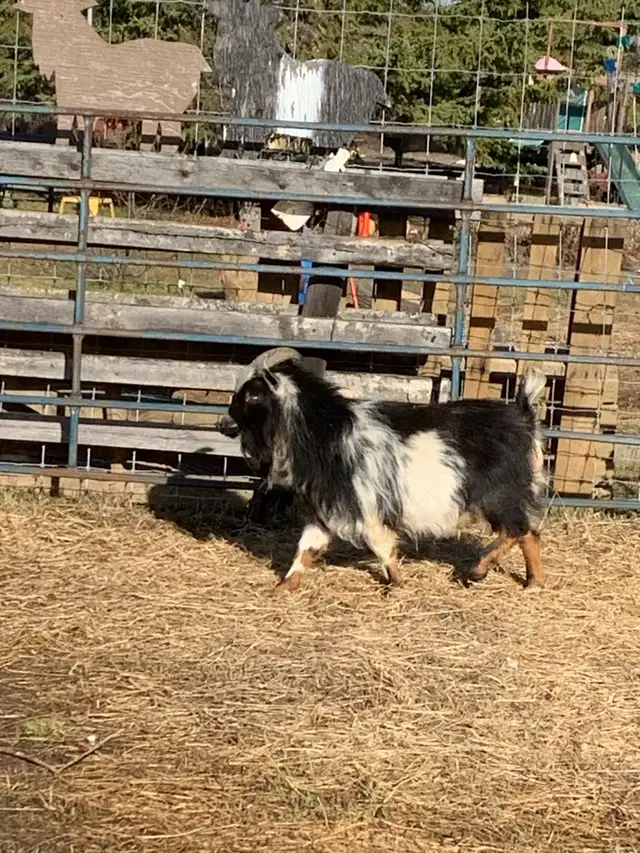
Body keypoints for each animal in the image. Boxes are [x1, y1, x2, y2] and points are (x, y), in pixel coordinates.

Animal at [219, 348, 547, 593]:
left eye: (254, 395)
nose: (223, 424)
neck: (328, 432)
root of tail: (523, 416)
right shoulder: (325, 510)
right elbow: (305, 549)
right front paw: (283, 587)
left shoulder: (366, 510)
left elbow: (381, 547)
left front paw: (397, 583)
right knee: (529, 533)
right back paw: (532, 582)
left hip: (500, 494)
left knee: (517, 530)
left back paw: (478, 570)